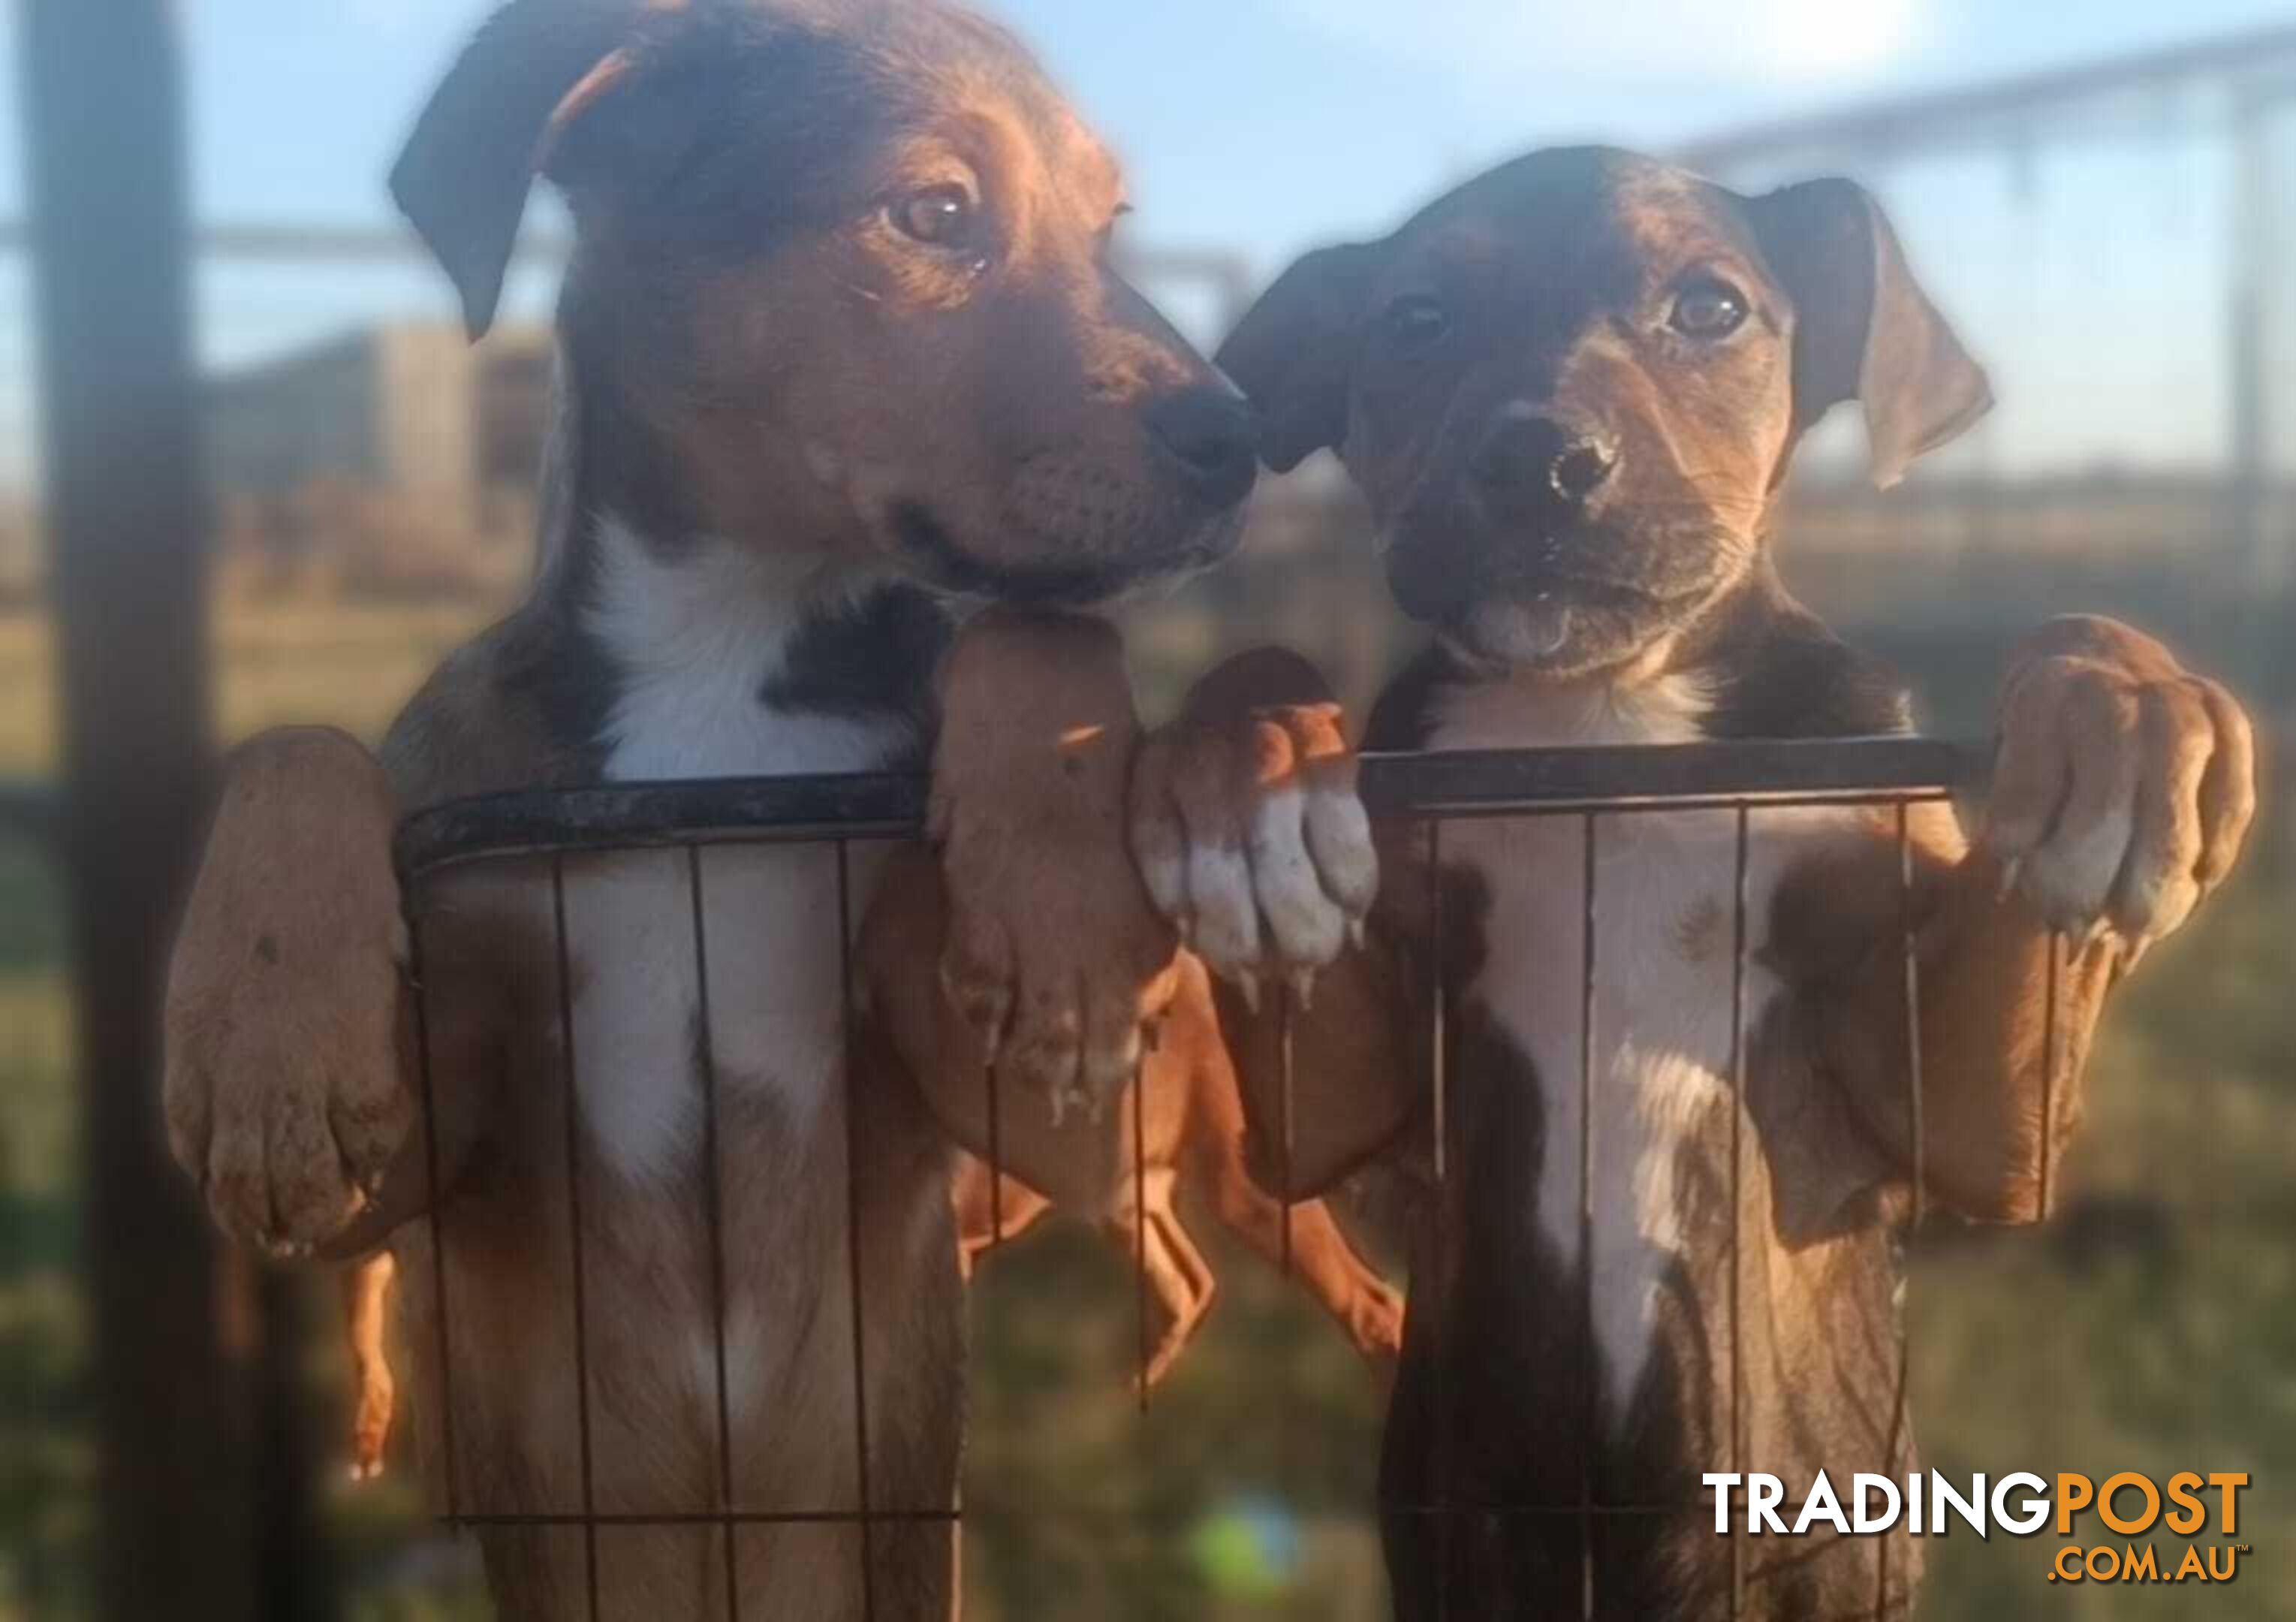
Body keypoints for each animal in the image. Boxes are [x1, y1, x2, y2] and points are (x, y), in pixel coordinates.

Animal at [161, 6, 1258, 1608]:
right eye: (935, 214)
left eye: (1104, 225)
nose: (1250, 443)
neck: (722, 662)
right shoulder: (435, 1162)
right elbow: (297, 744)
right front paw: (271, 1060)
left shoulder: (1018, 1115)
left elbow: (1032, 632)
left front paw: (1056, 909)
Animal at [1129, 145, 2259, 1608]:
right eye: (1415, 321)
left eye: (1710, 310)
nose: (1534, 457)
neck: (1600, 721)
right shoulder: (1331, 1109)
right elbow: (1260, 692)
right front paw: (1240, 771)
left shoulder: (1971, 1129)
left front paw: (2124, 710)